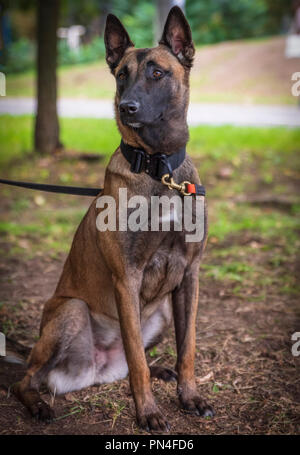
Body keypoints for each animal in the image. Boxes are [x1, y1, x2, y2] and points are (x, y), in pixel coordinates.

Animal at [12, 8, 213, 434]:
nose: (127, 107)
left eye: (157, 73)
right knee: (28, 380)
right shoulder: (127, 278)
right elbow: (136, 359)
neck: (158, 169)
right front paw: (149, 412)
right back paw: (38, 406)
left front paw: (189, 396)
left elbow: (187, 349)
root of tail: (97, 367)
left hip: (162, 311)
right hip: (71, 310)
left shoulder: (190, 275)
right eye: (122, 74)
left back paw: (163, 371)